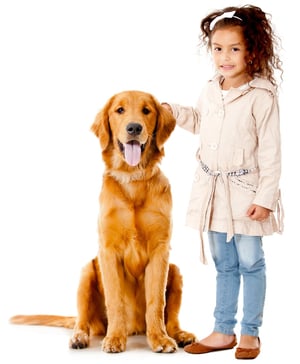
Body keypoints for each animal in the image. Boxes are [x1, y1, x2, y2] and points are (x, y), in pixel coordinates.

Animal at [9, 90, 196, 352]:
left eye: (147, 110)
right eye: (119, 110)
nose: (134, 128)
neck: (133, 179)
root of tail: (136, 328)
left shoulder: (161, 251)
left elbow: (156, 301)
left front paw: (159, 338)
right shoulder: (108, 251)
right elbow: (115, 300)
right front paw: (115, 338)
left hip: (175, 270)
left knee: (172, 318)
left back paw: (179, 335)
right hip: (86, 271)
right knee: (82, 320)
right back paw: (80, 337)